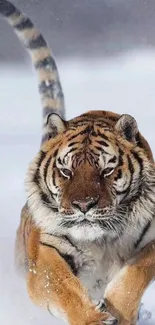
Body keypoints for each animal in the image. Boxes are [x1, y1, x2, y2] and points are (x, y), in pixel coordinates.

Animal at [0, 0, 155, 324]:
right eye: (66, 170)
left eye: (107, 170)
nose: (84, 205)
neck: (101, 242)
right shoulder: (45, 251)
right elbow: (61, 286)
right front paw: (93, 318)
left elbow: (136, 273)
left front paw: (120, 312)